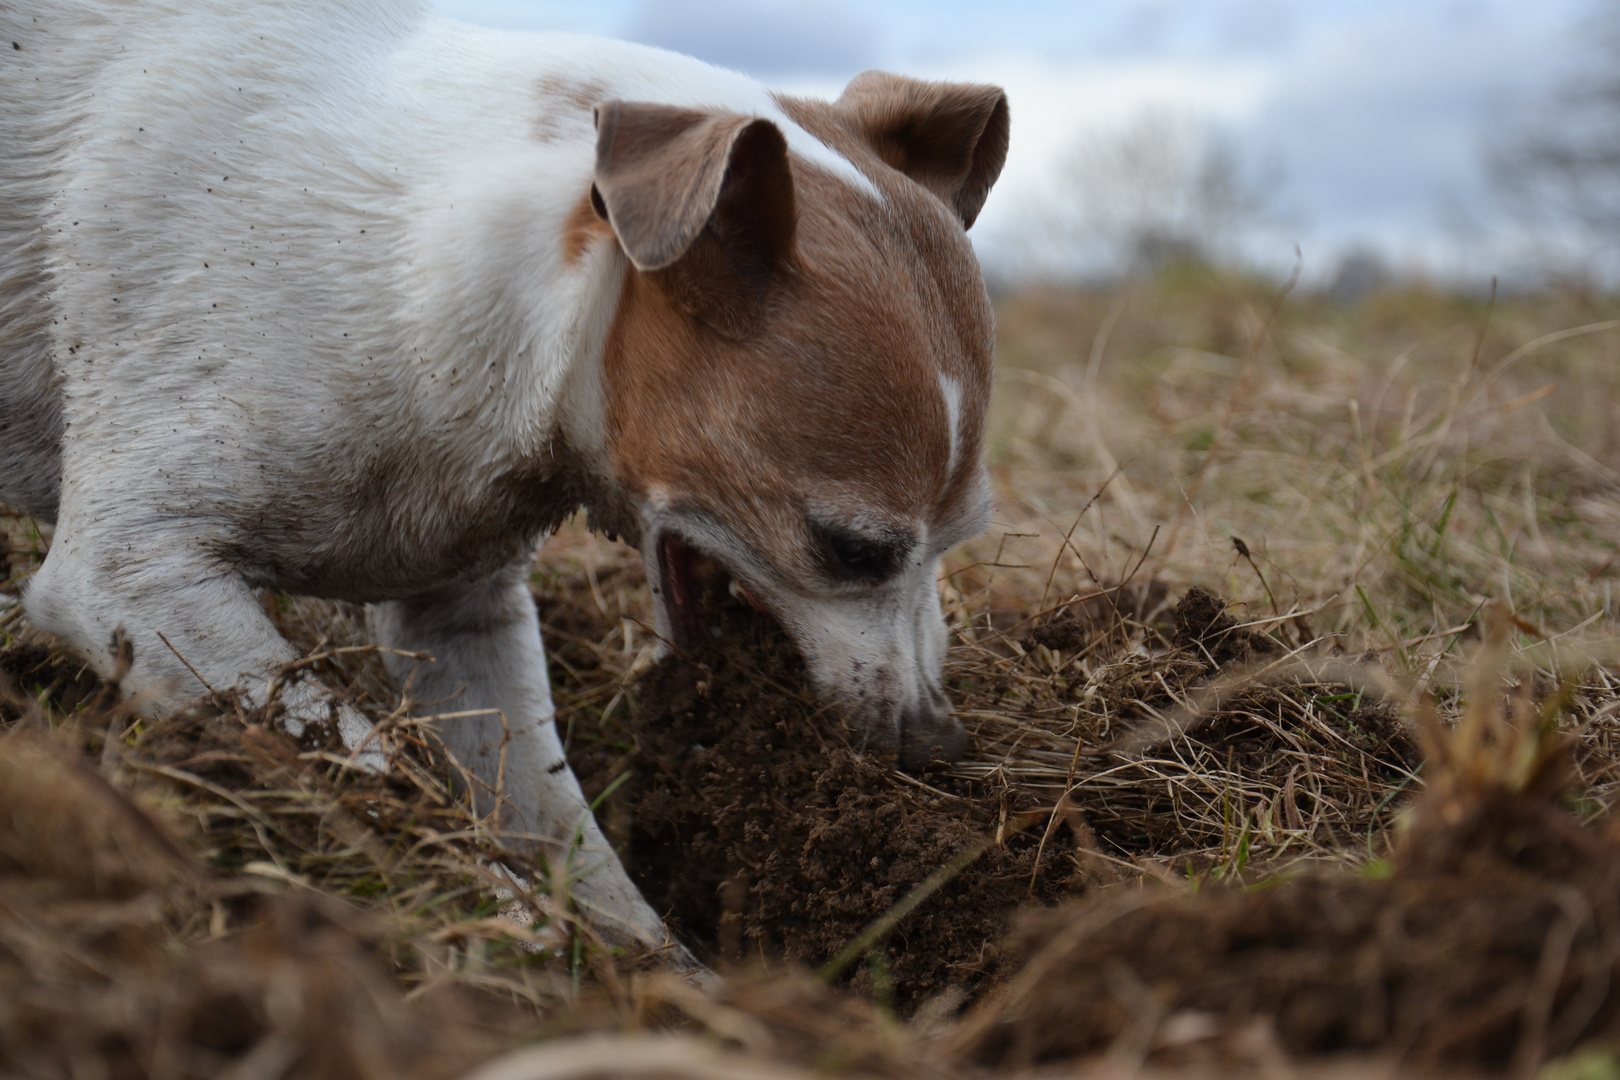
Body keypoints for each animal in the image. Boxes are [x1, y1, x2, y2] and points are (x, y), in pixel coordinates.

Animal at [0, 4, 1004, 958]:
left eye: (962, 541)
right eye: (850, 549)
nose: (938, 742)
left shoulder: (463, 626)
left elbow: (562, 832)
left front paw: (648, 965)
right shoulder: (137, 584)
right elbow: (378, 777)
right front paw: (506, 916)